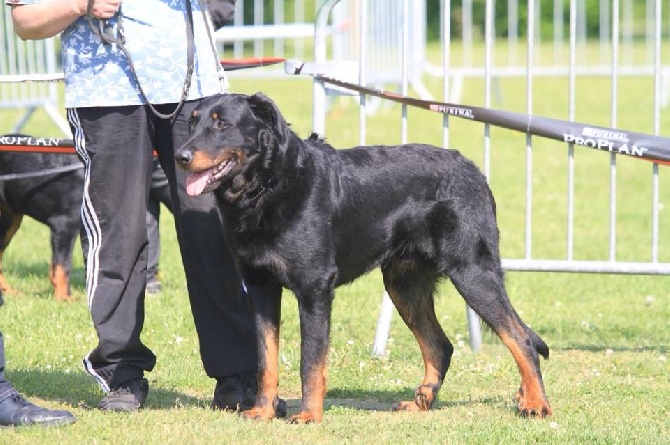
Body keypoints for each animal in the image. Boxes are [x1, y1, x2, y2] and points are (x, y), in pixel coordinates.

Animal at [176, 92, 552, 422]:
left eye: (222, 123)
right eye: (191, 122)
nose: (180, 156)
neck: (269, 185)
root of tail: (475, 172)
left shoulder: (314, 288)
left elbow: (311, 360)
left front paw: (309, 416)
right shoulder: (260, 287)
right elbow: (266, 358)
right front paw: (263, 411)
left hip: (472, 270)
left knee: (520, 337)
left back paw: (535, 404)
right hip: (404, 284)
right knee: (441, 346)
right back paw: (421, 403)